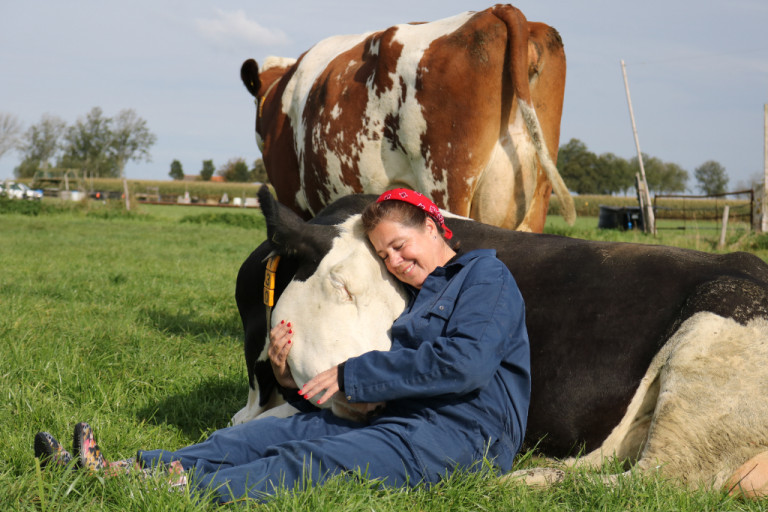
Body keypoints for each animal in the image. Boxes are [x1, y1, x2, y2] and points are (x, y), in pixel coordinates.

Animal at [233, 186, 768, 492]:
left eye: (405, 304)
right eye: (342, 285)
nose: (376, 397)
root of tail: (748, 264)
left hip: (709, 347)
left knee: (661, 480)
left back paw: (525, 481)